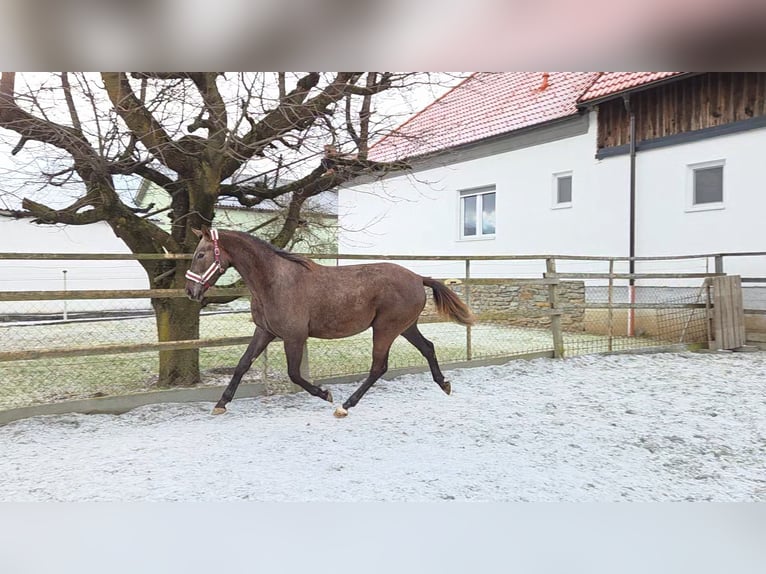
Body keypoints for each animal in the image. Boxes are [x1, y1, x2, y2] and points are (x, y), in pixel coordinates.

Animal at [185, 226, 475, 417]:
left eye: (200, 255)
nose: (190, 291)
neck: (275, 281)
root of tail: (418, 277)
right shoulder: (265, 331)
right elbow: (242, 365)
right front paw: (220, 404)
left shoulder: (294, 337)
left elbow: (294, 374)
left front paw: (326, 394)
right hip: (405, 327)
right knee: (427, 348)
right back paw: (444, 385)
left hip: (386, 328)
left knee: (378, 367)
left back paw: (344, 406)